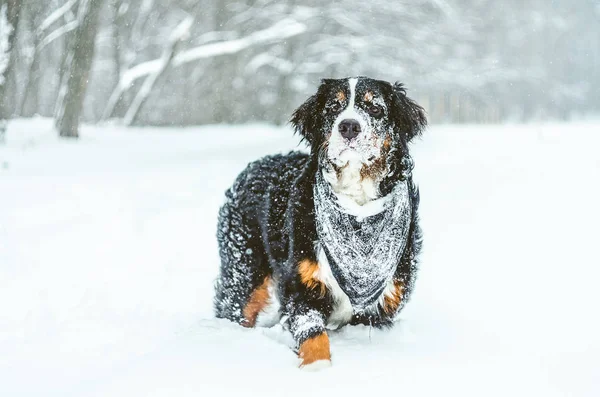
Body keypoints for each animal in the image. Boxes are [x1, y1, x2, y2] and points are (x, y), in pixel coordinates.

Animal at [213, 76, 424, 368]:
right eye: (333, 107)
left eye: (375, 108)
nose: (349, 127)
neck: (357, 208)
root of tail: (255, 165)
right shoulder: (301, 284)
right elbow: (313, 334)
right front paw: (319, 369)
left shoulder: (382, 303)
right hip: (244, 270)